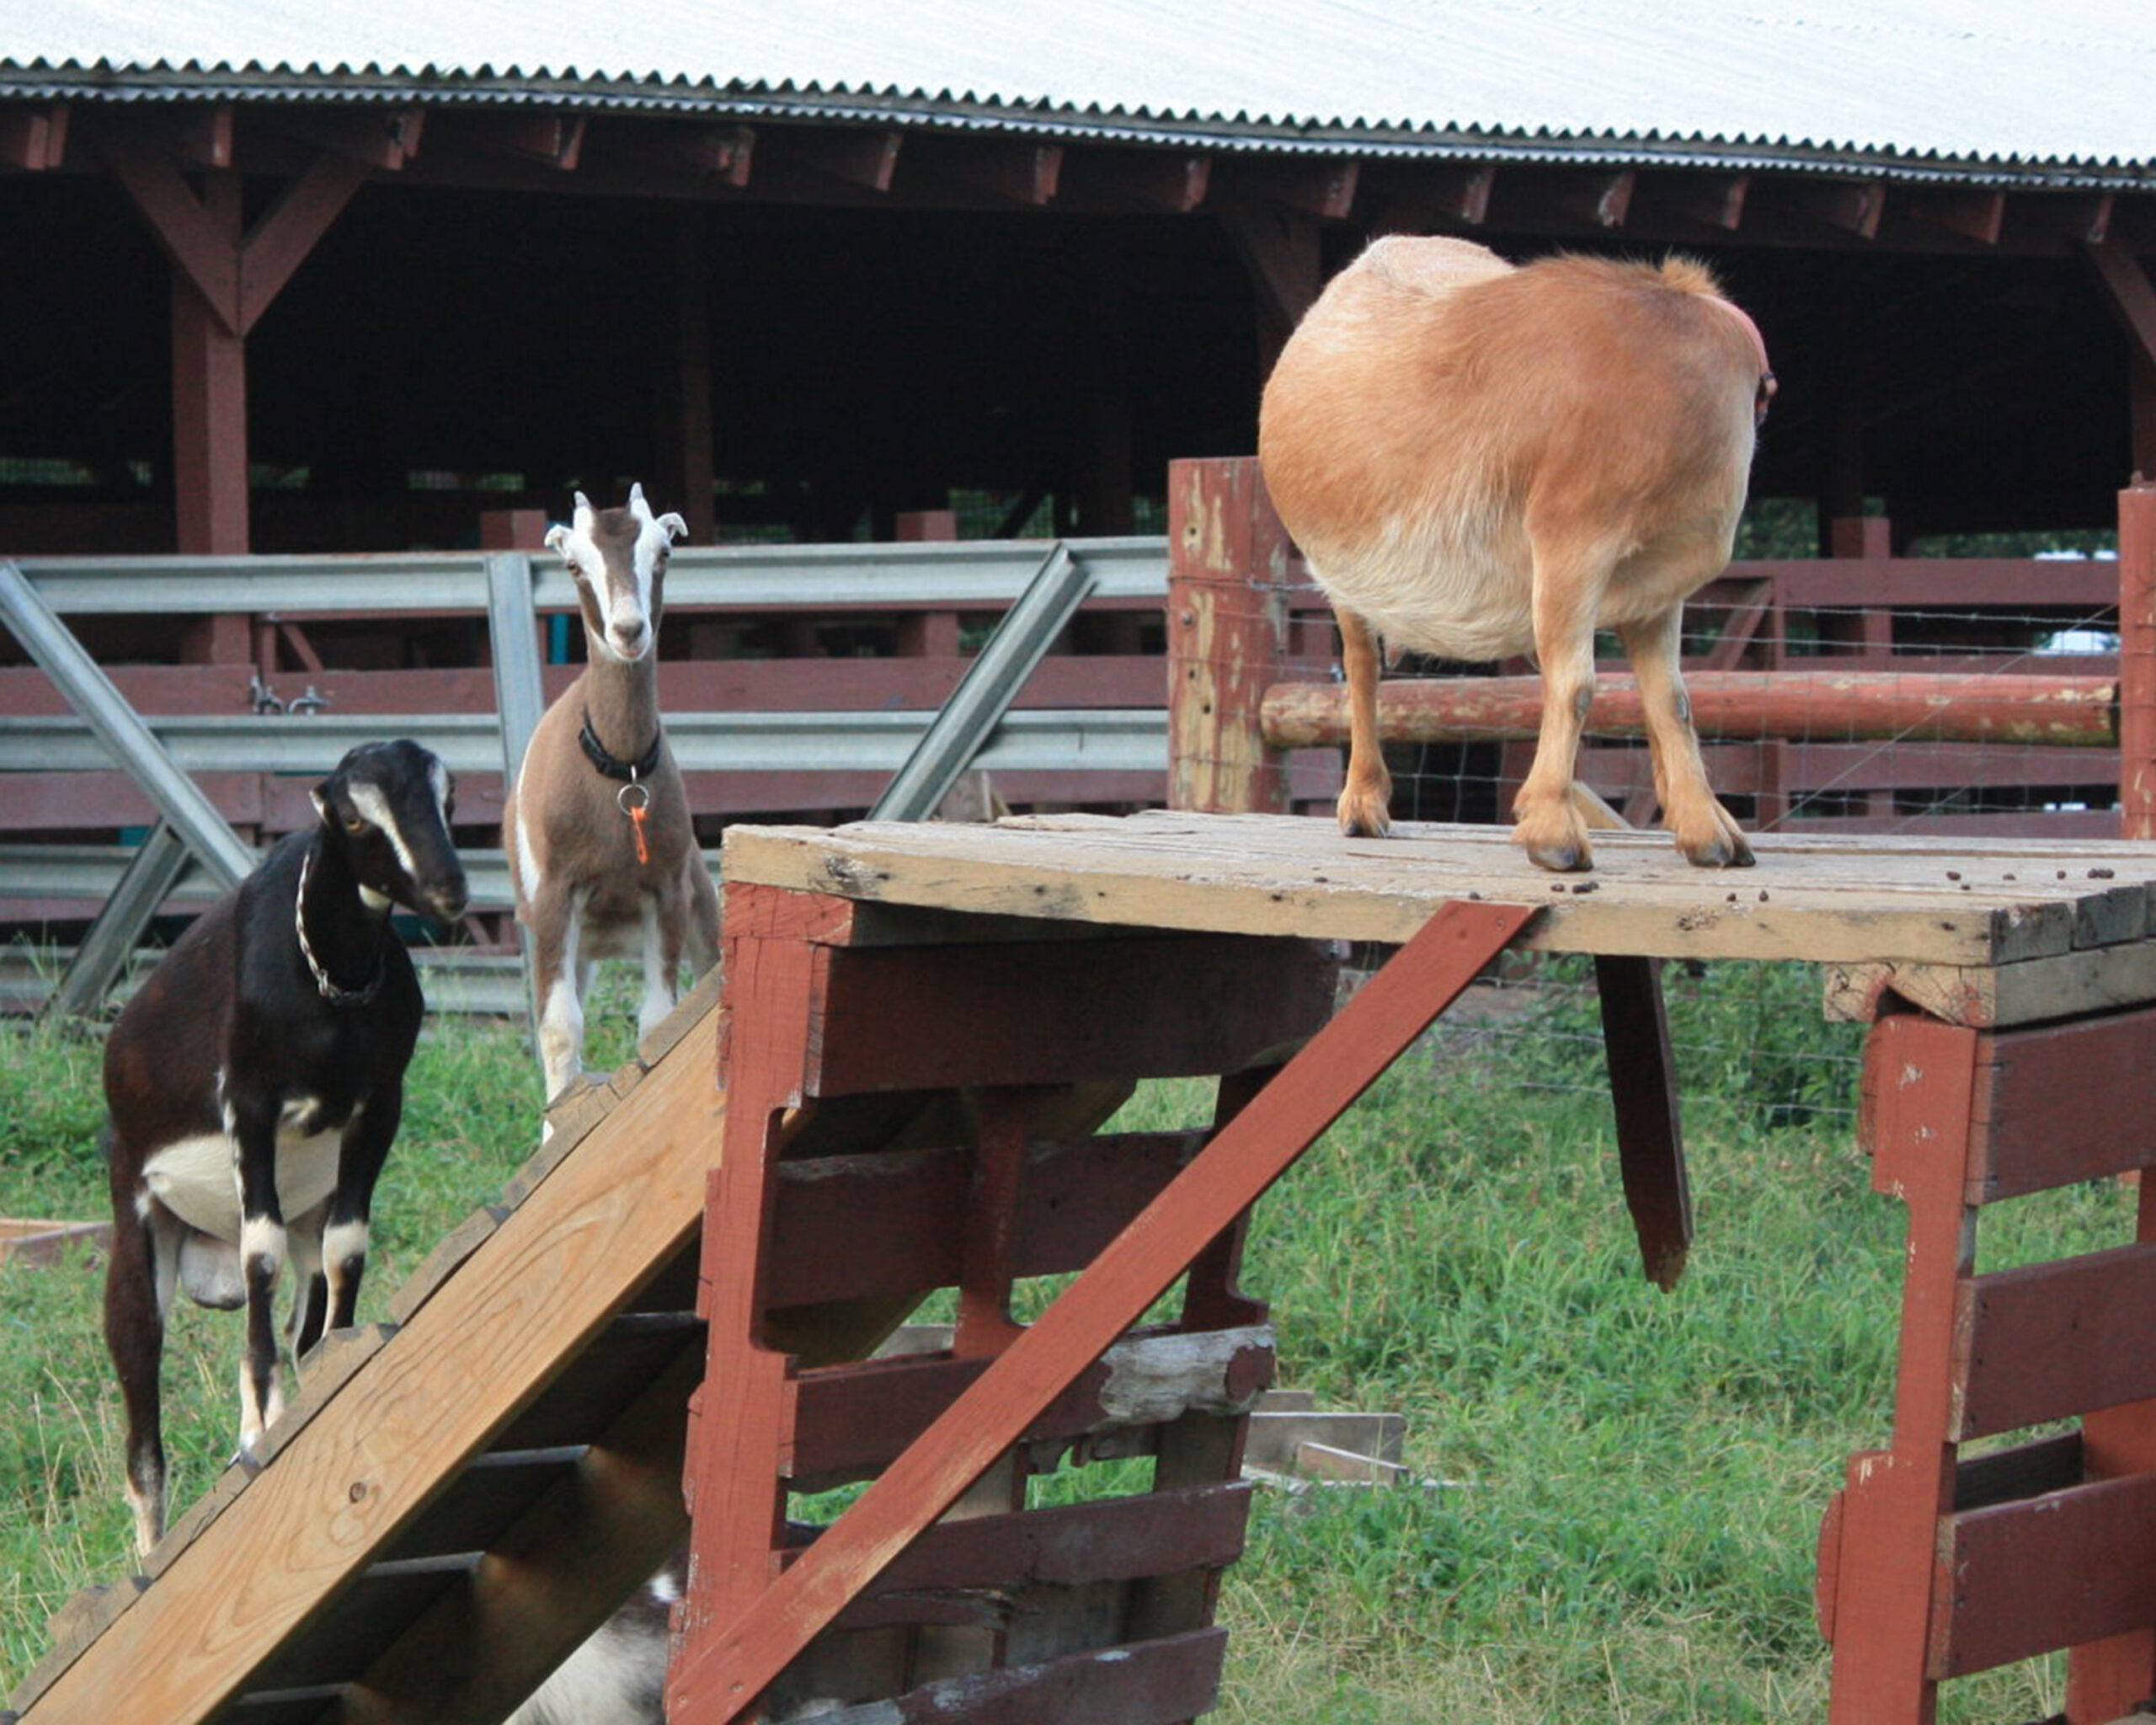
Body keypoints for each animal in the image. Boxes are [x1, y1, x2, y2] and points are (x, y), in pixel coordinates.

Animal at [101, 739, 467, 1555]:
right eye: (355, 816)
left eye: (448, 796)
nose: (450, 889)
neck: (326, 984)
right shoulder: (250, 1109)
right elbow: (258, 1253)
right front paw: (256, 1423)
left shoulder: (379, 1107)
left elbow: (349, 1249)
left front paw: (331, 1364)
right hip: (138, 1223)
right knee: (141, 1426)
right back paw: (149, 1554)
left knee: (309, 1278)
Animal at [505, 484, 721, 1104]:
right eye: (574, 565)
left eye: (664, 553)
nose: (628, 631)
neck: (618, 768)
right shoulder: (555, 900)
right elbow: (560, 1030)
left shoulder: (667, 894)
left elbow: (661, 1024)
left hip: (699, 903)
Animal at [1258, 236, 1776, 871]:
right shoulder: (1572, 540)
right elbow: (1577, 687)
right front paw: (1553, 830)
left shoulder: (1654, 586)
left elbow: (1670, 700)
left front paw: (1706, 829)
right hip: (1346, 576)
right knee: (1361, 668)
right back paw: (1362, 803)